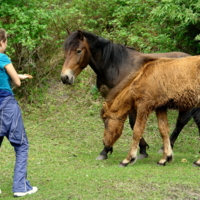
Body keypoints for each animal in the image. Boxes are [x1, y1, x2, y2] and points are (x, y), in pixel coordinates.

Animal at [61, 30, 200, 159]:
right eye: (66, 51)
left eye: (78, 51)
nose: (65, 77)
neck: (116, 66)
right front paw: (106, 150)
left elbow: (133, 123)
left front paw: (141, 149)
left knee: (181, 122)